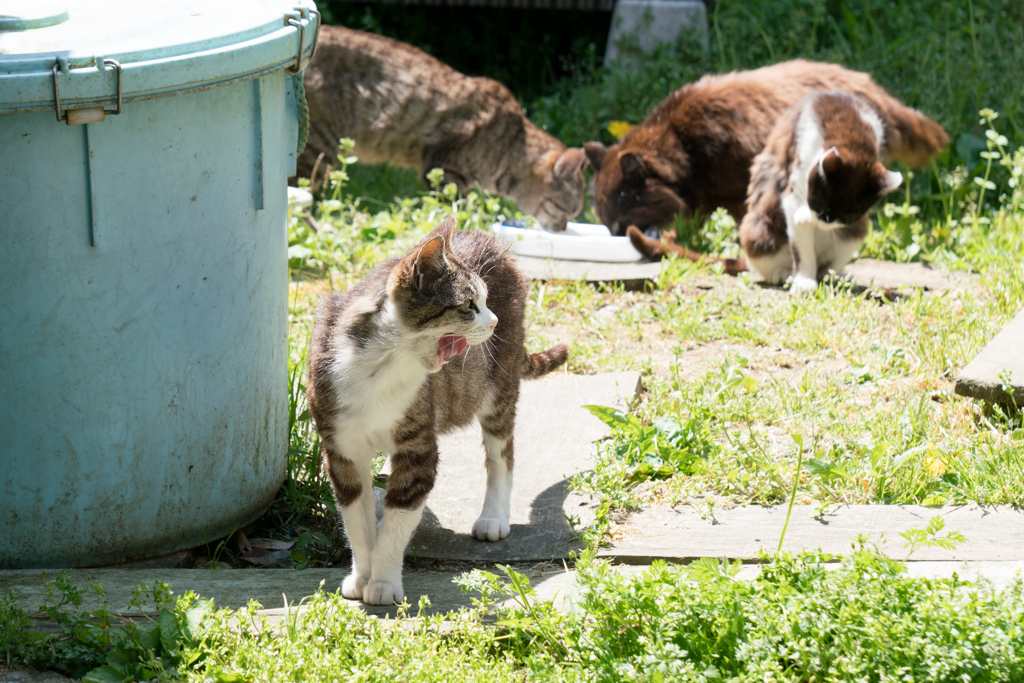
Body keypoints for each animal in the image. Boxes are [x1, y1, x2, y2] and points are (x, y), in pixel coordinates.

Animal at [299, 26, 585, 232]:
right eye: (568, 211)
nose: (563, 228)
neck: (513, 144)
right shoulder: (443, 169)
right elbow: (456, 213)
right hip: (318, 150)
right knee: (298, 199)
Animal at [307, 215, 573, 602]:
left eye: (485, 300)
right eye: (469, 305)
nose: (493, 322)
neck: (378, 367)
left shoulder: (418, 447)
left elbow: (401, 514)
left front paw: (383, 583)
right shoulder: (340, 448)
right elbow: (356, 520)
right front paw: (362, 575)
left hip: (499, 384)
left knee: (501, 452)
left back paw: (493, 517)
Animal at [581, 59, 946, 240]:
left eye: (624, 203)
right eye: (603, 214)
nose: (614, 232)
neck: (684, 145)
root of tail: (875, 89)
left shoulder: (739, 187)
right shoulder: (703, 198)